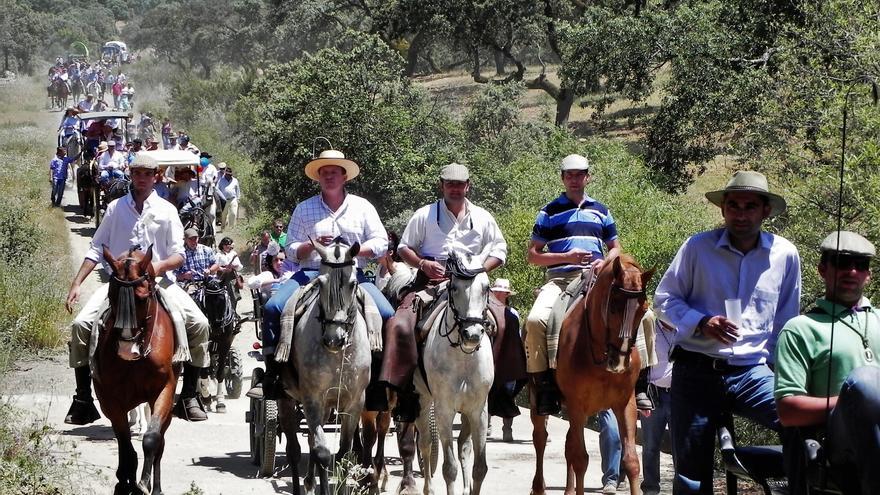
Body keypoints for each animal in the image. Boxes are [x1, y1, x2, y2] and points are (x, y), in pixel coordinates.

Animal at [95, 246, 180, 494]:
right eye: (112, 295)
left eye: (142, 299)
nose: (126, 347)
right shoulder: (109, 399)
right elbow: (124, 444)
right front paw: (125, 480)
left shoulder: (164, 390)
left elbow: (152, 439)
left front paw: (143, 483)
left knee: (160, 442)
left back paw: (155, 486)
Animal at [276, 240, 370, 495]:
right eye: (320, 283)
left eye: (353, 283)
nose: (333, 339)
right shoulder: (312, 399)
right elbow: (322, 453)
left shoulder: (354, 401)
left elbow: (344, 452)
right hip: (287, 400)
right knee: (295, 449)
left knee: (309, 439)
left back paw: (310, 482)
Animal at [414, 256, 492, 495]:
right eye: (454, 287)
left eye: (486, 287)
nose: (472, 334)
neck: (463, 358)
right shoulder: (444, 411)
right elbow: (449, 468)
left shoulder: (479, 411)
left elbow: (480, 468)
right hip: (423, 401)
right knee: (426, 444)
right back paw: (428, 489)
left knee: (463, 448)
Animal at [524, 254, 648, 495]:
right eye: (613, 306)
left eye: (643, 309)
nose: (620, 361)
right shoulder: (577, 404)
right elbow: (581, 459)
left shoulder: (625, 403)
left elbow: (631, 461)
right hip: (538, 400)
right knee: (540, 439)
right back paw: (538, 487)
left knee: (568, 444)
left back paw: (569, 490)